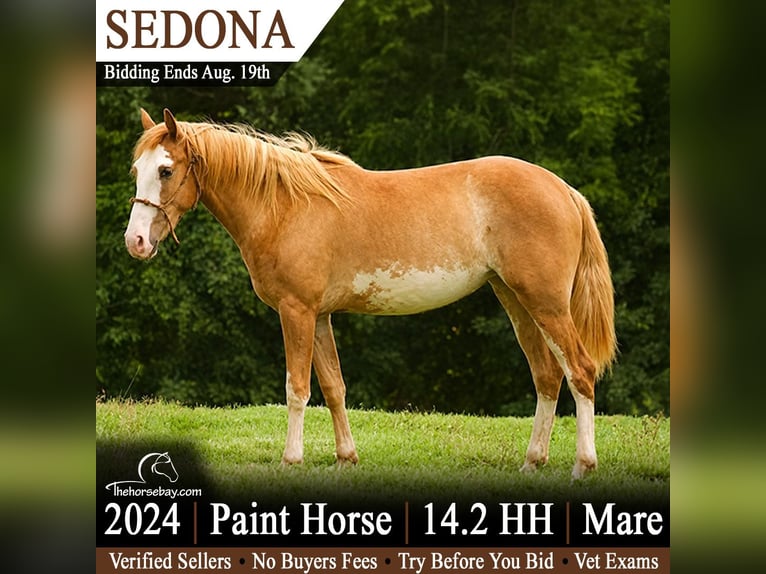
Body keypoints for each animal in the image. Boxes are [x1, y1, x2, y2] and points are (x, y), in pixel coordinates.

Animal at [124, 108, 616, 479]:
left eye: (166, 170)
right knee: (547, 376)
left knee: (579, 371)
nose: (136, 242)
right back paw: (533, 463)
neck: (284, 206)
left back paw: (583, 465)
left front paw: (291, 459)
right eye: (136, 171)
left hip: (545, 304)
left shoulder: (296, 312)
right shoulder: (320, 316)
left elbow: (296, 387)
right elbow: (333, 387)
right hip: (515, 299)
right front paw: (346, 457)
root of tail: (564, 190)